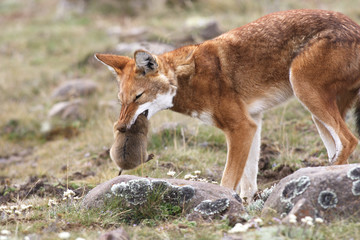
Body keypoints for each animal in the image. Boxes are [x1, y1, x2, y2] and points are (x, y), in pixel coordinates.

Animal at [95, 9, 360, 199]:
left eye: (138, 97)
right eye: (122, 101)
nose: (120, 128)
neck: (189, 78)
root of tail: (355, 27)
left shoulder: (241, 127)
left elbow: (227, 180)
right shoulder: (254, 123)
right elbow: (248, 183)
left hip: (306, 93)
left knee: (349, 141)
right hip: (316, 113)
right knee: (338, 150)